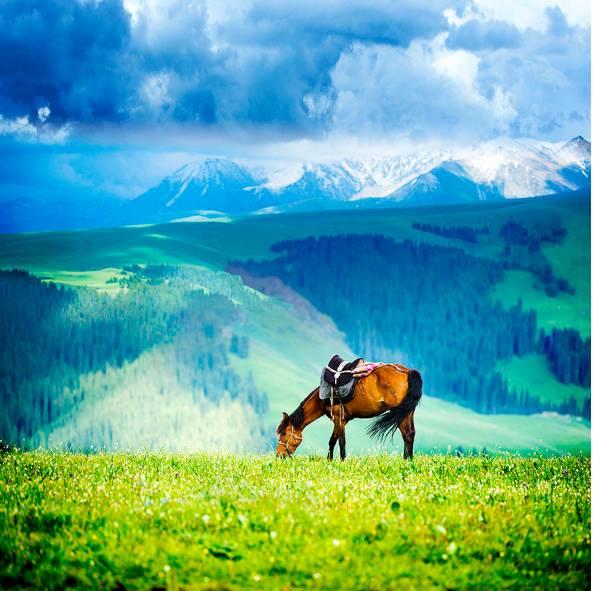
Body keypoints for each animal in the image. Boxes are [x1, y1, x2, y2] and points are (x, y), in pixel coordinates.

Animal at [276, 366, 420, 462]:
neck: (324, 396)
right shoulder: (340, 420)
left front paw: (342, 461)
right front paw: (329, 460)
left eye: (283, 433)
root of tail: (407, 371)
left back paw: (406, 460)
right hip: (407, 412)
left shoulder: (339, 419)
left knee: (406, 434)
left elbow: (341, 441)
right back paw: (409, 460)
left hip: (400, 413)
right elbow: (332, 441)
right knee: (410, 434)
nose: (279, 455)